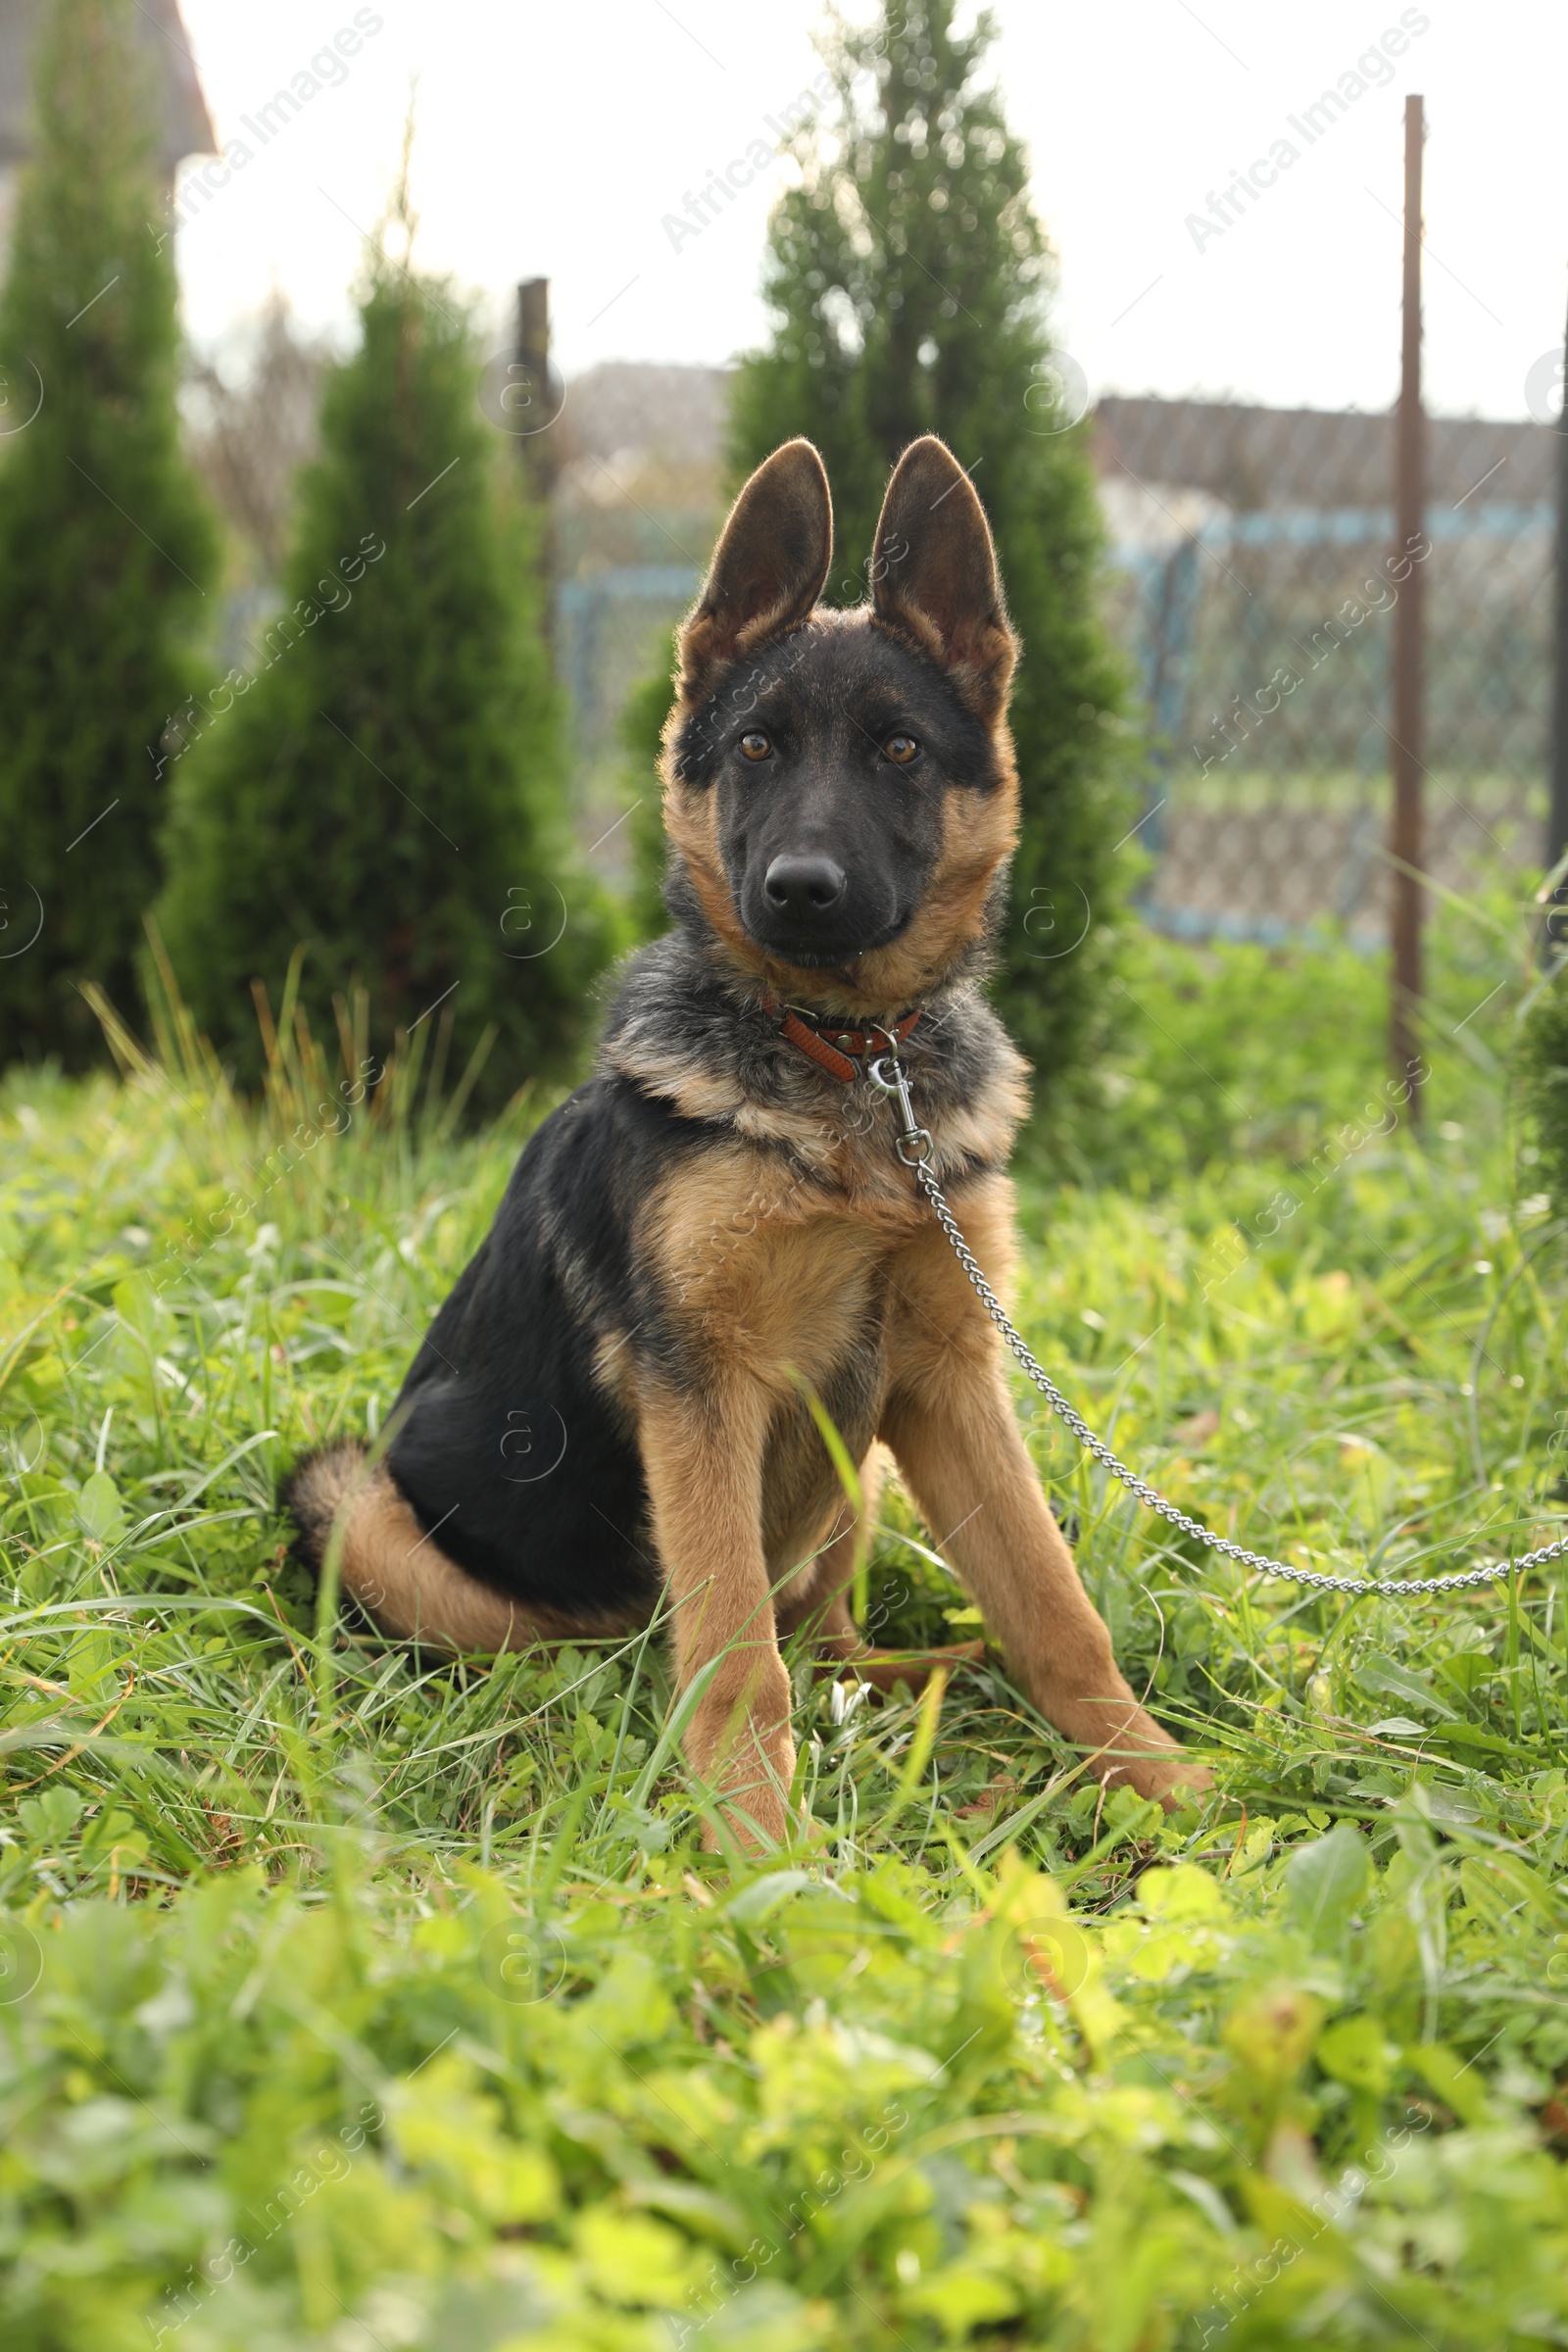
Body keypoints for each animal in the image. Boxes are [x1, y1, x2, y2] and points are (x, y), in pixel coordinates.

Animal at [287, 437, 1212, 1835]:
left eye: (898, 749)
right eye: (760, 746)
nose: (801, 893)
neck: (849, 1063)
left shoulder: (949, 1374)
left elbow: (1054, 1605)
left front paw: (1153, 1775)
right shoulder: (703, 1389)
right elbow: (731, 1649)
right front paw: (751, 1837)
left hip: (863, 1470)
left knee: (823, 1637)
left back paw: (925, 1677)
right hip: (363, 1507)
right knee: (605, 1649)